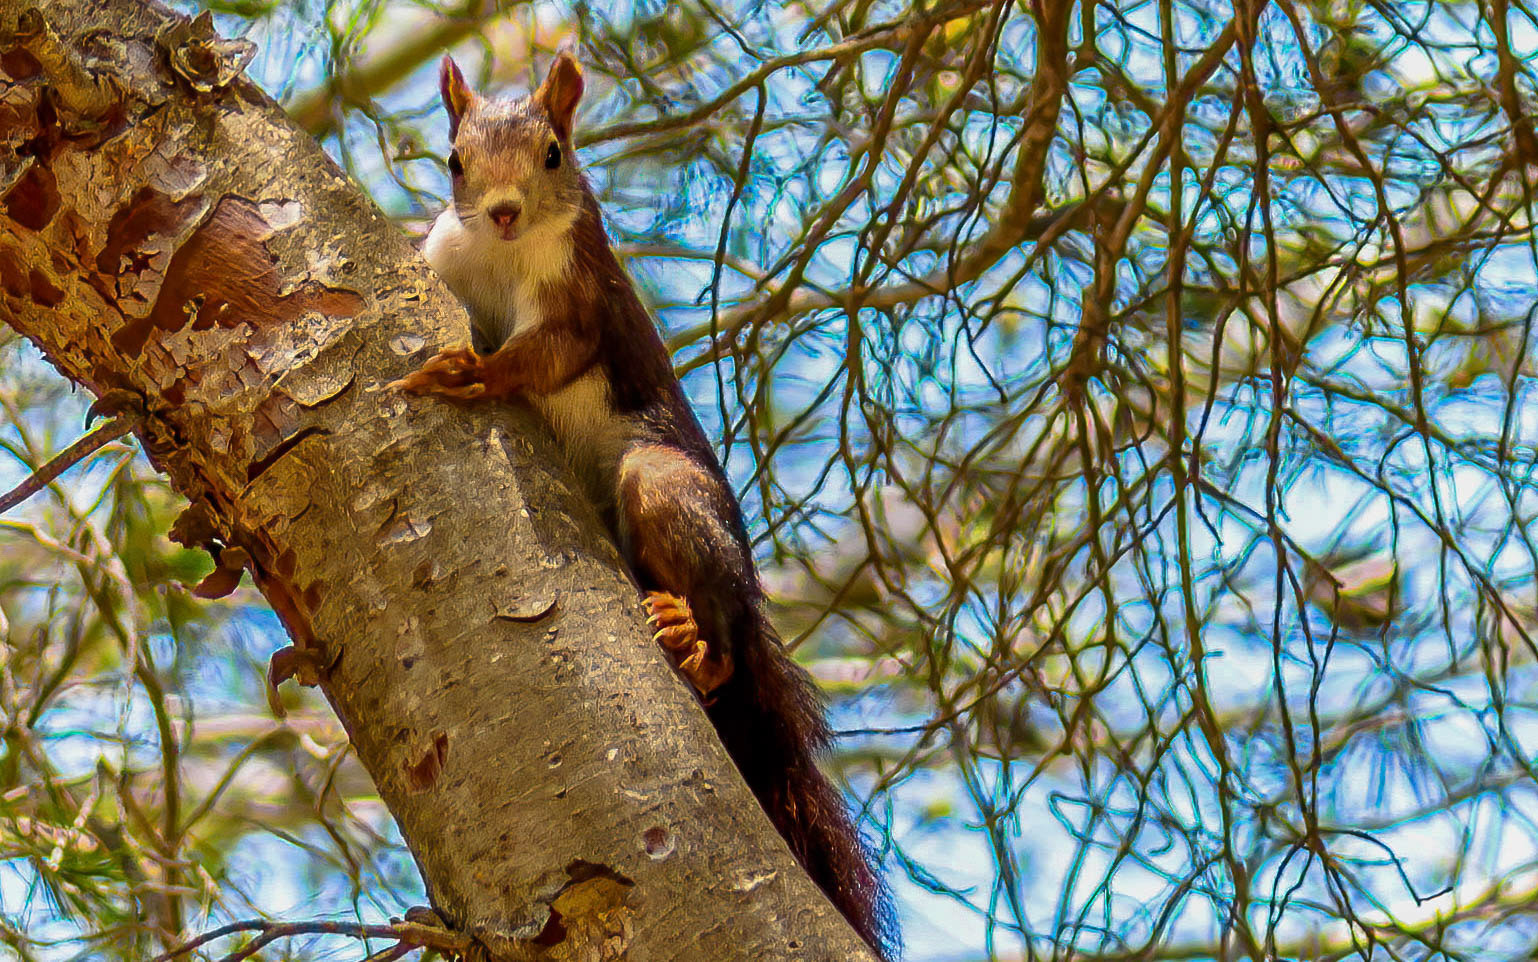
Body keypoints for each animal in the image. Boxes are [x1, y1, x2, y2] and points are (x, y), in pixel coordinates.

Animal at [392, 52, 897, 957]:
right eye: (453, 160)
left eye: (554, 153)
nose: (505, 209)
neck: (499, 258)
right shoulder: (446, 259)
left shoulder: (579, 296)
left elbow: (544, 354)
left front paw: (474, 371)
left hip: (663, 485)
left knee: (722, 634)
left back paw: (698, 637)